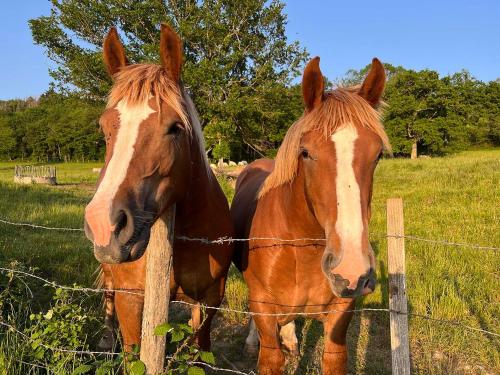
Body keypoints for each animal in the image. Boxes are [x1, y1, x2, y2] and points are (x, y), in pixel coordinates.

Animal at [84, 25, 234, 352]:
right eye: (104, 127)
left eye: (175, 127)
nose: (104, 223)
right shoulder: (130, 299)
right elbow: (133, 352)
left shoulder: (211, 299)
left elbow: (199, 350)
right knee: (108, 292)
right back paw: (106, 338)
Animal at [231, 57, 390, 374]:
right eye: (305, 152)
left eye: (377, 155)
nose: (351, 270)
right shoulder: (263, 308)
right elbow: (270, 356)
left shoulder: (341, 313)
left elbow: (333, 357)